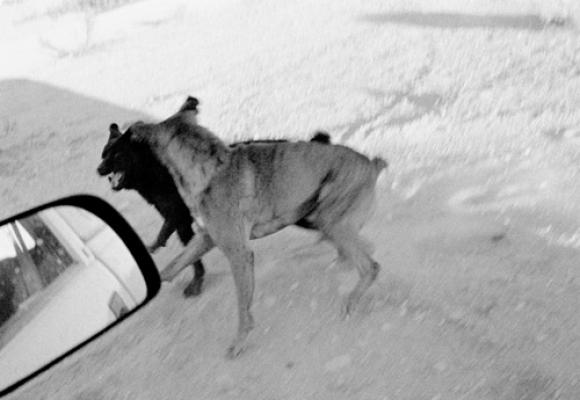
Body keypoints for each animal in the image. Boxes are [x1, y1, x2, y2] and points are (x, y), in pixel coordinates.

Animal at [97, 97, 328, 296]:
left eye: (116, 154)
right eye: (103, 154)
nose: (98, 169)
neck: (153, 170)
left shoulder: (179, 219)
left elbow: (185, 252)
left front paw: (195, 280)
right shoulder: (183, 223)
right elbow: (180, 248)